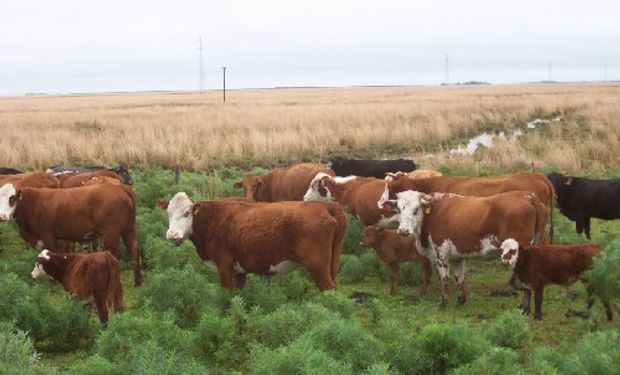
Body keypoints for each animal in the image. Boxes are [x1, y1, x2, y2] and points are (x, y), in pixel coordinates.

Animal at [0, 184, 141, 286]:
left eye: (12, 198)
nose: (2, 216)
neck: (33, 203)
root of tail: (120, 187)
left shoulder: (48, 236)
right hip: (130, 230)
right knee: (134, 250)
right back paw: (138, 281)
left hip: (110, 235)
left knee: (115, 256)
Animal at [162, 192, 346, 292]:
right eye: (168, 213)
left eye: (187, 213)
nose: (172, 234)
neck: (214, 219)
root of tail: (327, 207)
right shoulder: (239, 270)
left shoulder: (224, 265)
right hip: (332, 265)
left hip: (318, 267)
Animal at [386, 191, 544, 308]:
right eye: (398, 210)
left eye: (416, 209)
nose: (403, 230)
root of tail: (528, 195)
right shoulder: (458, 256)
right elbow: (460, 277)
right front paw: (461, 300)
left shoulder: (441, 252)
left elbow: (444, 277)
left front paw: (443, 303)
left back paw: (524, 308)